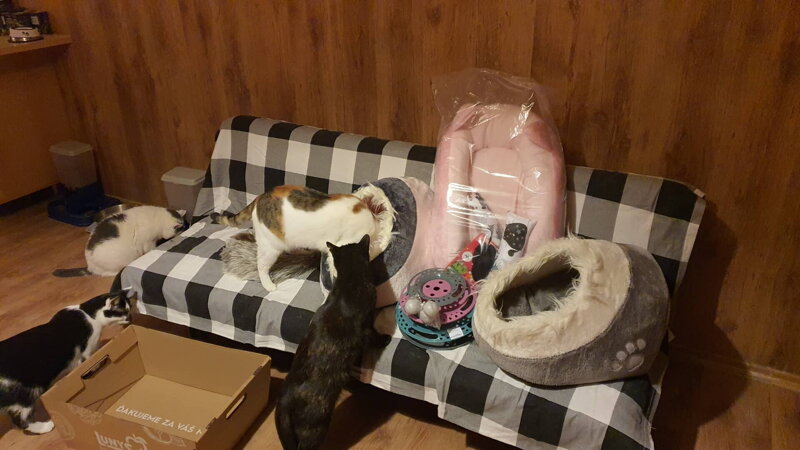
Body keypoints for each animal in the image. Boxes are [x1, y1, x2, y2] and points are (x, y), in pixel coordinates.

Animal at [0, 290, 131, 434]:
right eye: (124, 312)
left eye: (129, 310)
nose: (130, 318)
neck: (87, 312)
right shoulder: (87, 351)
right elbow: (88, 363)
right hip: (26, 394)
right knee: (20, 421)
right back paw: (44, 427)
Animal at [53, 206, 186, 277]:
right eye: (181, 229)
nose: (184, 229)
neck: (159, 219)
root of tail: (89, 266)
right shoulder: (148, 242)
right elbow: (150, 248)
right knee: (107, 274)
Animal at [275, 235, 389, 450]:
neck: (348, 282)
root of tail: (284, 400)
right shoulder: (366, 328)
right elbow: (375, 337)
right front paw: (385, 339)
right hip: (316, 426)